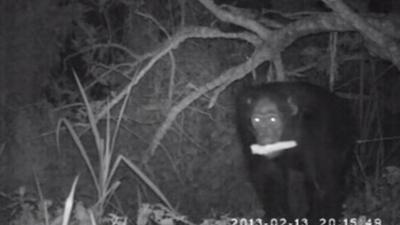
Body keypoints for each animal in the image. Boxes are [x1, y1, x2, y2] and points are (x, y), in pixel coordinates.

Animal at [236, 82, 354, 223]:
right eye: (257, 120)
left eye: (273, 119)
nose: (265, 137)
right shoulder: (244, 124)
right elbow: (268, 176)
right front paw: (277, 218)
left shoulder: (320, 129)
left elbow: (323, 186)